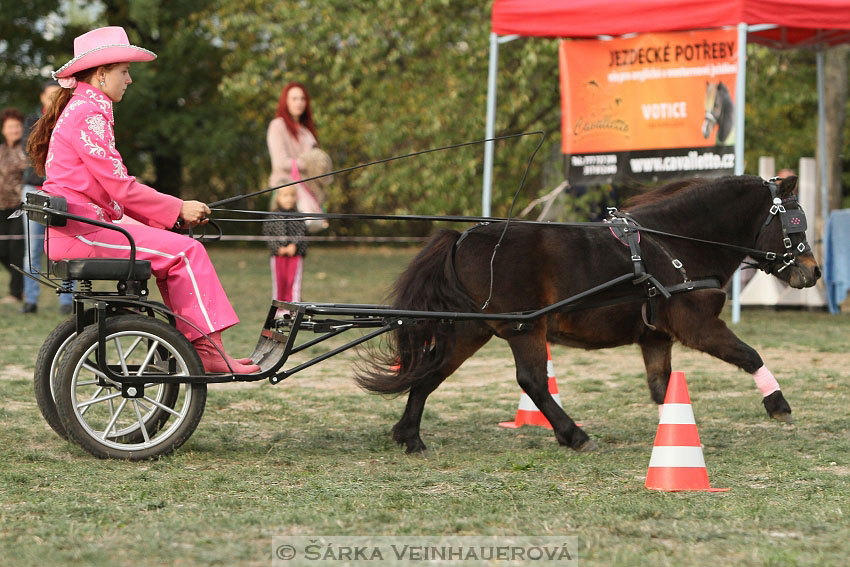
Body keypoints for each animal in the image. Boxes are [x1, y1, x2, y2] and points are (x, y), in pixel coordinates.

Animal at [356, 175, 816, 454]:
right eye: (795, 224)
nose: (813, 272)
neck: (678, 243)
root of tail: (462, 237)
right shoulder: (698, 325)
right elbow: (749, 355)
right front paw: (778, 404)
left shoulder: (656, 337)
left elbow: (662, 387)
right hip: (525, 326)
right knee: (532, 381)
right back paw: (573, 434)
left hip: (471, 332)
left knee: (430, 372)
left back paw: (409, 435)